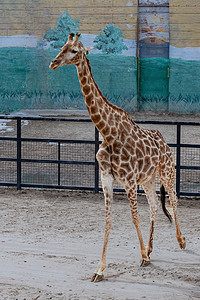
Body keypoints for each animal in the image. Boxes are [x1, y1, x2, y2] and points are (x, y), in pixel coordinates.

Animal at [49, 34, 186, 282]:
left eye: (74, 51)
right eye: (62, 47)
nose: (53, 62)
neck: (107, 131)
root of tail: (167, 145)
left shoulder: (129, 180)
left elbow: (134, 217)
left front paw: (142, 256)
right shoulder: (107, 178)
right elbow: (108, 219)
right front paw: (100, 269)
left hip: (167, 172)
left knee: (173, 199)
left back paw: (181, 241)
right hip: (148, 179)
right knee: (154, 206)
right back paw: (151, 248)